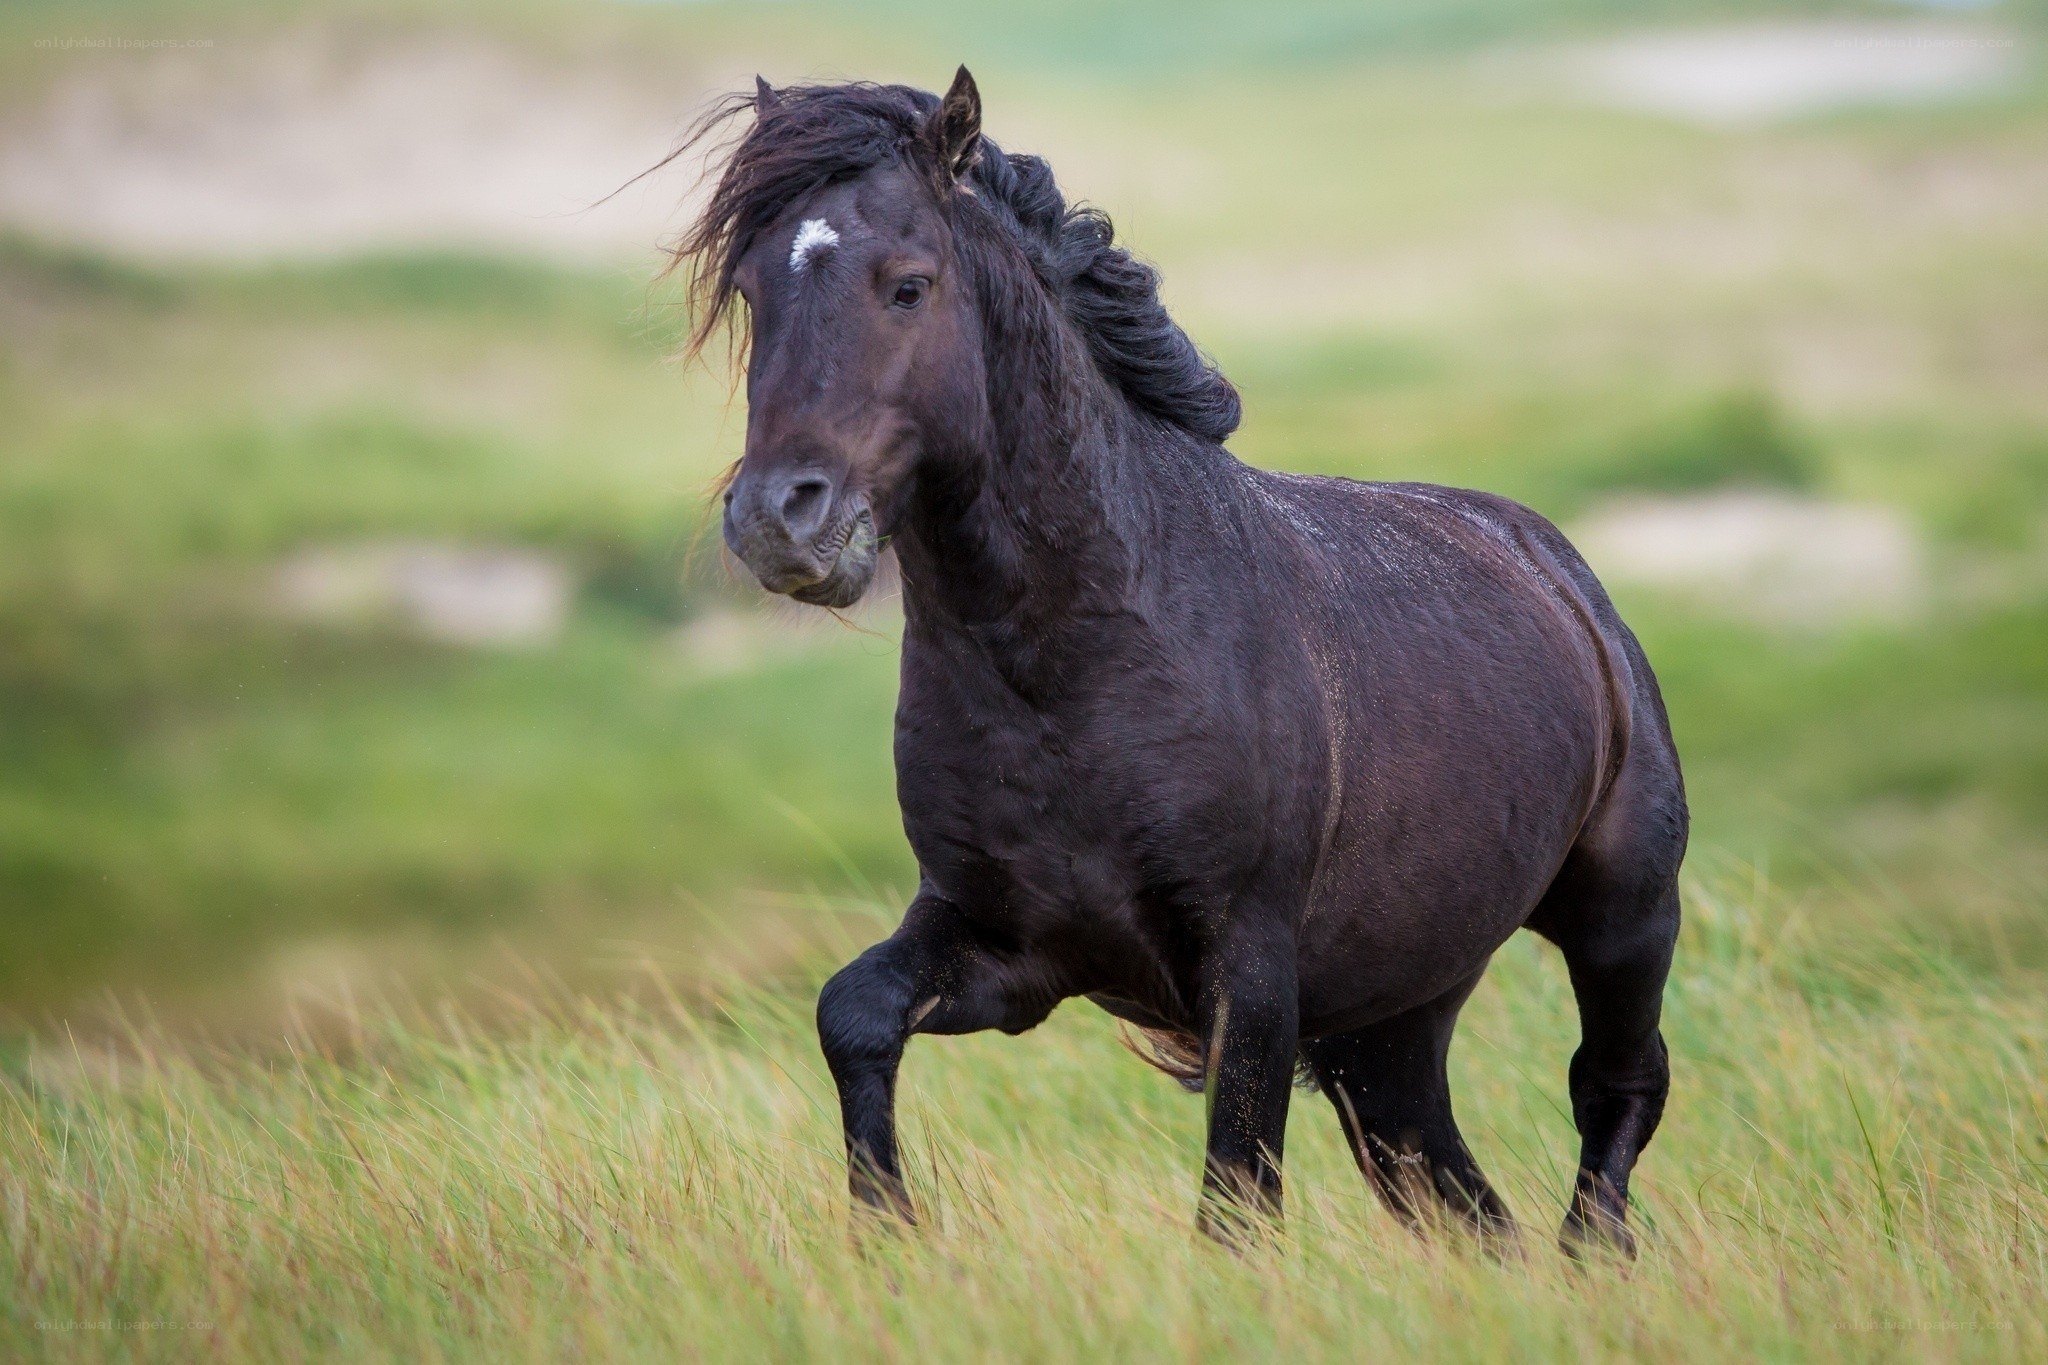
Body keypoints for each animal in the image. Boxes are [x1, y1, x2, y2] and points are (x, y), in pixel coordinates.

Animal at [669, 67, 1687, 1255]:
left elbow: (1236, 1198)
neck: (1078, 662)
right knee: (1444, 1176)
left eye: (907, 286)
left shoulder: (1247, 968)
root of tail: (1565, 579)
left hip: (1622, 915)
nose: (779, 522)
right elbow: (853, 1012)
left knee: (1614, 1090)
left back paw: (1593, 1257)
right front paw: (890, 1231)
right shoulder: (1010, 947)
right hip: (1395, 1015)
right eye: (751, 290)